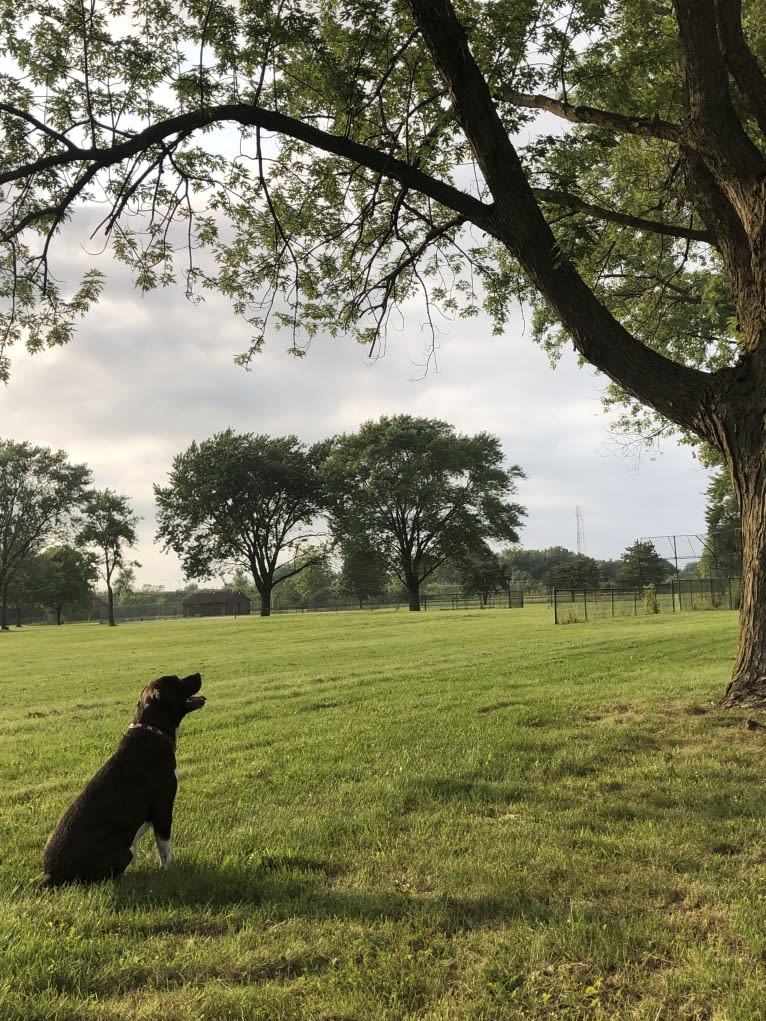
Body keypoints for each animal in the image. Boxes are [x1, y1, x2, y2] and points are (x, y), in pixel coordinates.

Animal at [40, 669, 204, 886]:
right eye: (177, 680)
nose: (198, 674)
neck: (153, 731)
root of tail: (51, 874)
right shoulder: (162, 808)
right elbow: (164, 848)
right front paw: (168, 871)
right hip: (125, 849)